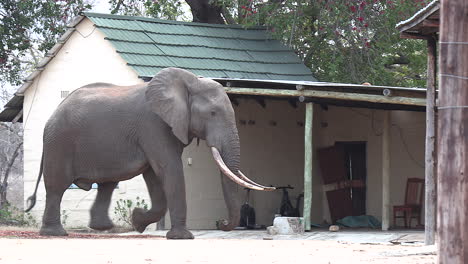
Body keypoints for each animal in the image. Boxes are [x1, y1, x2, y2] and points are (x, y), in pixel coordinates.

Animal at [25, 66, 274, 239]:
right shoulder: (154, 125)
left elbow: (155, 176)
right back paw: (55, 233)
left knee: (106, 184)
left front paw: (137, 221)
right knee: (57, 186)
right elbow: (169, 169)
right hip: (59, 142)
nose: (221, 222)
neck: (189, 81)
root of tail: (54, 112)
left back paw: (102, 228)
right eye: (212, 113)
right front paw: (182, 238)